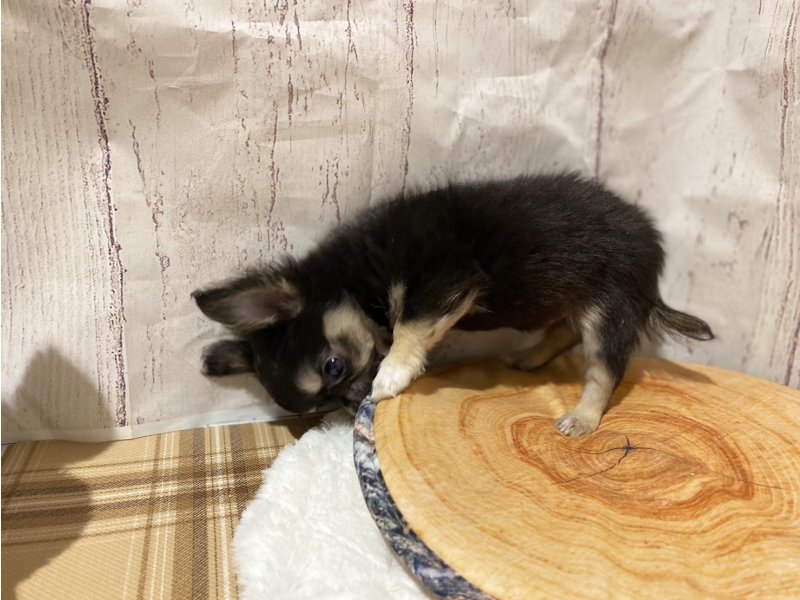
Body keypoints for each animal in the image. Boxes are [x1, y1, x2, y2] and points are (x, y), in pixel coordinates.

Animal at [193, 174, 713, 436]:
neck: (356, 273)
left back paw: (583, 417)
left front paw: (391, 375)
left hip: (610, 308)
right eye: (331, 400)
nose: (357, 401)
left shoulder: (444, 280)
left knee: (604, 371)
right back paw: (530, 357)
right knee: (565, 329)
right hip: (576, 300)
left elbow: (408, 326)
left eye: (334, 368)